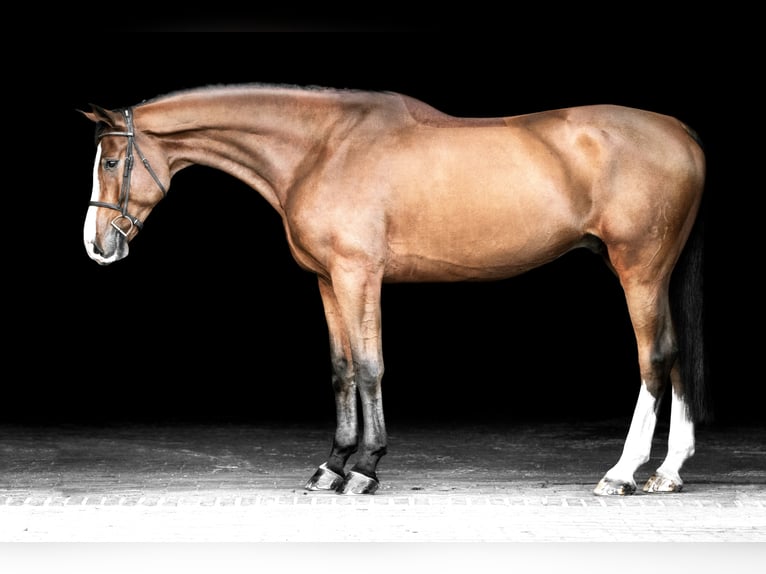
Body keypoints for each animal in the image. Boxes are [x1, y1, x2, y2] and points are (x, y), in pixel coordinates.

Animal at [80, 83, 708, 496]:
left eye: (111, 161)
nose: (96, 246)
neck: (322, 149)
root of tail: (680, 131)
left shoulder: (359, 275)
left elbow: (369, 366)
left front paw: (365, 467)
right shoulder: (328, 279)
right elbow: (340, 368)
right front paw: (332, 465)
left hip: (639, 269)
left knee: (654, 359)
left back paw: (622, 473)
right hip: (656, 273)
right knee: (676, 356)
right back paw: (667, 472)